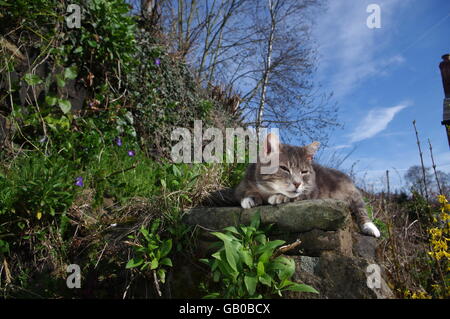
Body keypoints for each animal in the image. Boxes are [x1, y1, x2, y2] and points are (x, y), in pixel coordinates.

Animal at [236, 134, 380, 239]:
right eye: (284, 168)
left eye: (304, 172)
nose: (297, 183)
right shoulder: (244, 181)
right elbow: (243, 190)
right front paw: (250, 198)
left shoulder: (311, 191)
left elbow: (297, 195)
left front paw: (279, 197)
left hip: (352, 194)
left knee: (361, 209)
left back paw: (371, 228)